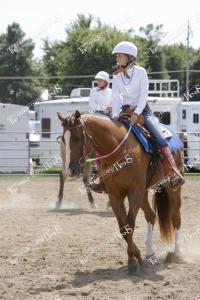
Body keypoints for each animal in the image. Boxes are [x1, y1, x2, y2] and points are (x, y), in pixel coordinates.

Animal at [61, 110, 184, 274]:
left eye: (76, 137)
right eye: (63, 138)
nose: (70, 170)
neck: (121, 151)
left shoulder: (134, 192)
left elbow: (129, 225)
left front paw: (133, 262)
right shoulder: (115, 196)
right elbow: (123, 228)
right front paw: (135, 259)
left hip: (172, 188)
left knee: (175, 217)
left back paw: (176, 253)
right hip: (144, 193)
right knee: (151, 216)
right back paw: (150, 254)